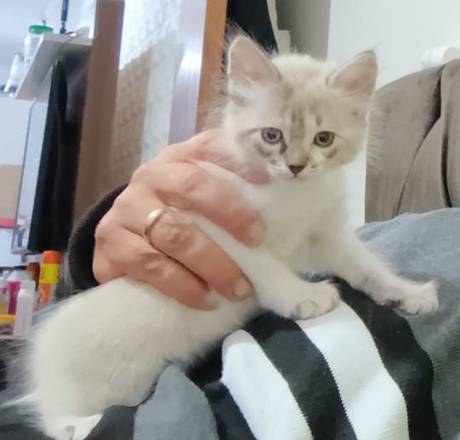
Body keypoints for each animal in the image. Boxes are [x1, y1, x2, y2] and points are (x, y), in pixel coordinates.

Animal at [23, 36, 438, 440]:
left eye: (323, 139)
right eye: (272, 135)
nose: (296, 166)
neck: (293, 196)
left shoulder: (327, 235)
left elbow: (367, 267)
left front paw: (408, 293)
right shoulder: (216, 224)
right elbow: (266, 266)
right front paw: (303, 297)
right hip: (105, 384)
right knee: (56, 417)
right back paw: (80, 426)